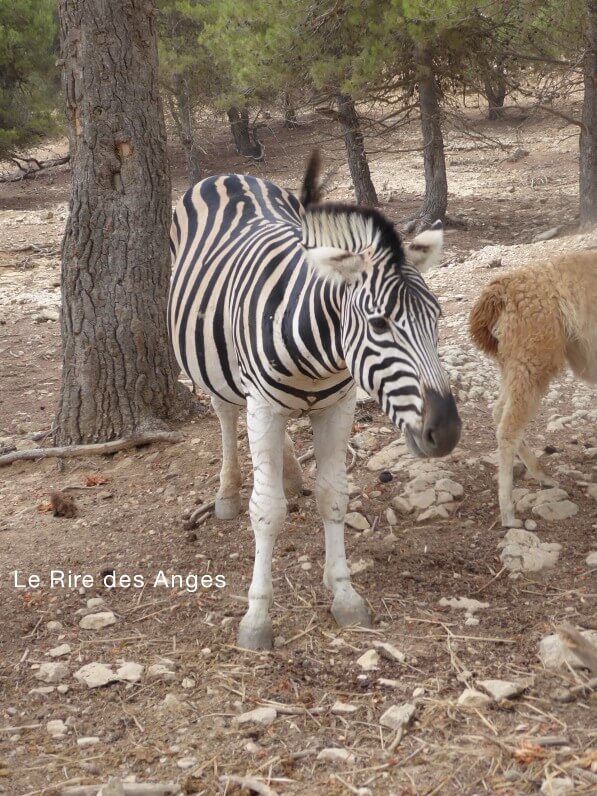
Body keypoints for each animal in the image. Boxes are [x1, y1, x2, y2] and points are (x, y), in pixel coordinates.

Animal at [168, 152, 460, 648]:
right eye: (379, 324)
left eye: (436, 317)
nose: (447, 431)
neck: (321, 348)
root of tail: (229, 175)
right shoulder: (264, 406)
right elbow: (266, 510)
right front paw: (256, 618)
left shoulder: (337, 406)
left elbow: (334, 496)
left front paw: (343, 593)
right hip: (213, 365)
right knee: (226, 414)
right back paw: (227, 493)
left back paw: (289, 475)